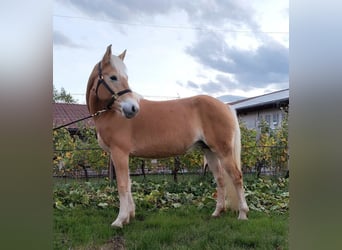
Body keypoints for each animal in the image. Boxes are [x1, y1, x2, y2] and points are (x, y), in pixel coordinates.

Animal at [85, 44, 248, 228]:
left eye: (124, 77)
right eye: (113, 77)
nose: (133, 108)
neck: (111, 113)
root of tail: (226, 106)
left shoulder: (119, 153)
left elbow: (122, 185)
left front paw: (120, 220)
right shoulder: (122, 155)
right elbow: (129, 183)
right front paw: (129, 216)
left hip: (223, 151)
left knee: (236, 177)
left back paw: (243, 214)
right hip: (210, 151)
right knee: (220, 179)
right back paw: (217, 212)